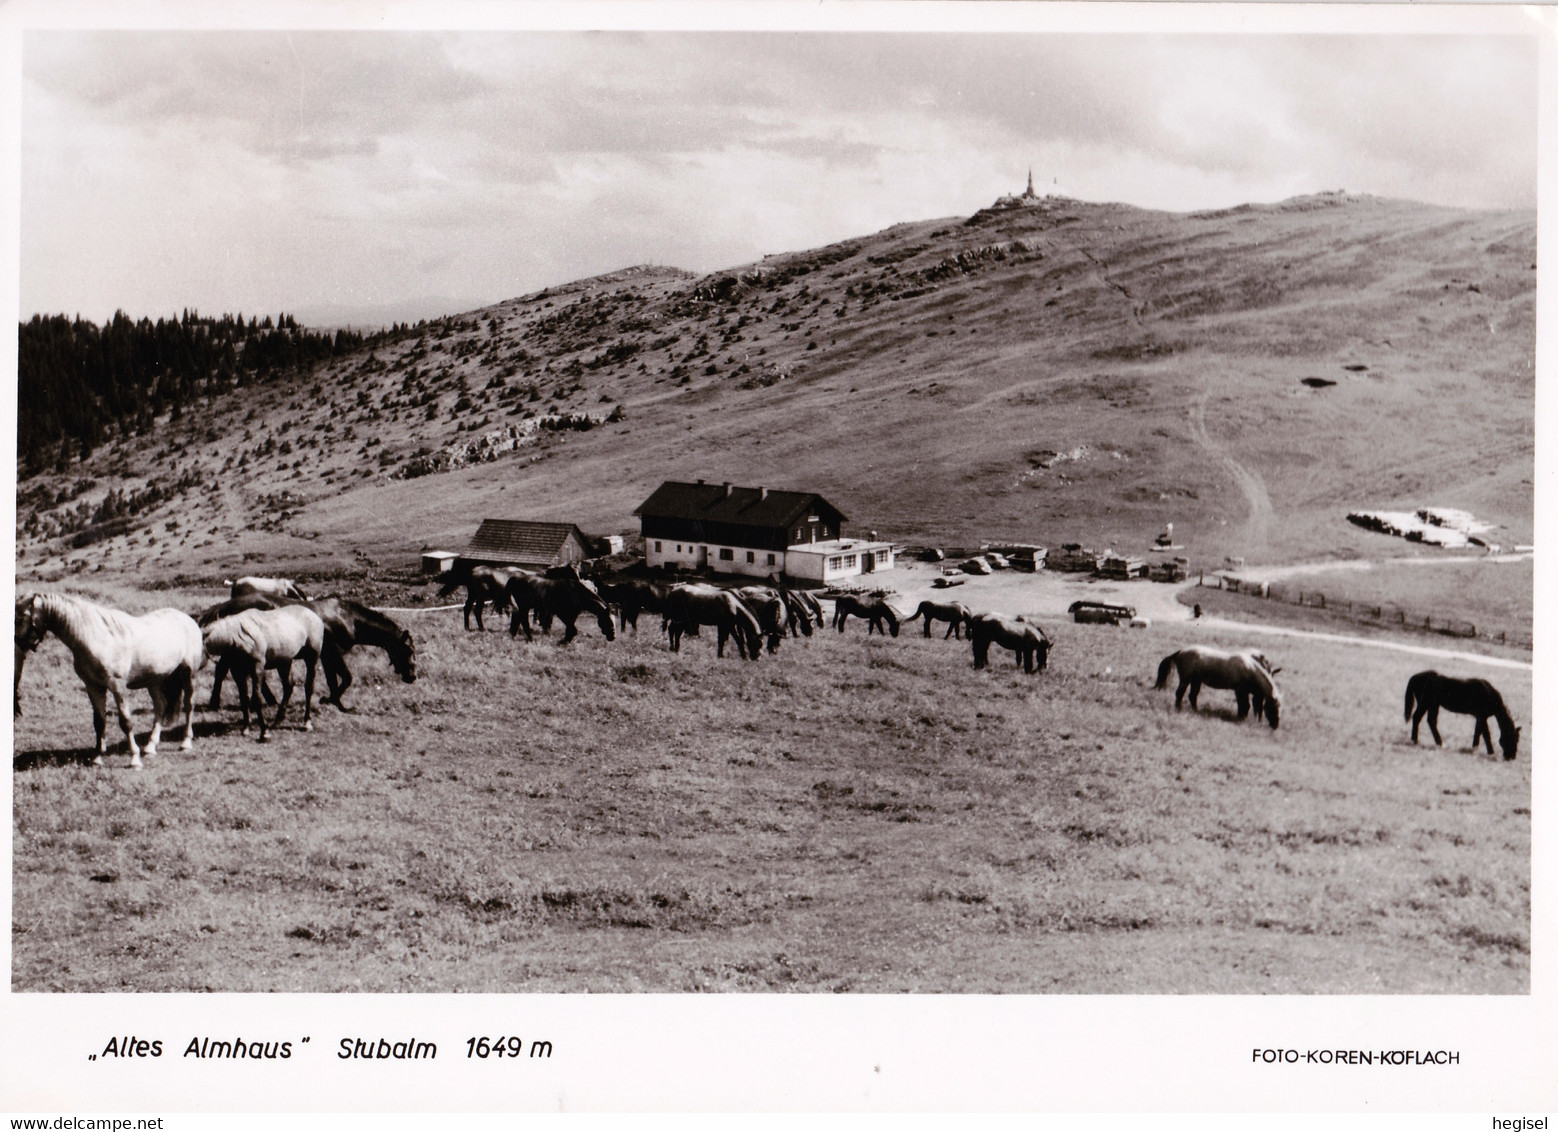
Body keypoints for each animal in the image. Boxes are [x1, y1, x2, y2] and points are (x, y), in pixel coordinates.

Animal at [13, 594, 202, 769]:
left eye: (19, 618)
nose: (17, 649)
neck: (97, 638)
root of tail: (187, 619)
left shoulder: (117, 688)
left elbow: (126, 722)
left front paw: (134, 759)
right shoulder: (93, 687)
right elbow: (99, 722)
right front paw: (97, 758)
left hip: (188, 674)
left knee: (189, 705)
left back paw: (185, 743)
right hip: (154, 680)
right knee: (160, 706)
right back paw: (150, 747)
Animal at [200, 607, 325, 738]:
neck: (237, 637)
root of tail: (314, 615)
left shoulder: (257, 668)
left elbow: (256, 698)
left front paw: (264, 731)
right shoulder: (238, 672)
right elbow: (244, 698)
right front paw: (246, 727)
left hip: (312, 658)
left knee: (308, 687)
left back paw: (307, 722)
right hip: (285, 662)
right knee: (288, 687)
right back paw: (278, 719)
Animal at [1152, 650, 1283, 731]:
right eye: (1272, 708)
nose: (1275, 725)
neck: (1249, 670)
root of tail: (1180, 652)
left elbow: (1246, 706)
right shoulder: (1240, 691)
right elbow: (1244, 706)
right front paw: (1241, 719)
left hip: (1196, 681)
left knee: (1192, 696)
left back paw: (1196, 711)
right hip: (1186, 679)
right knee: (1180, 694)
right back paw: (1179, 709)